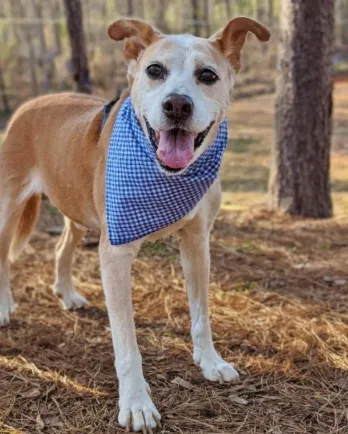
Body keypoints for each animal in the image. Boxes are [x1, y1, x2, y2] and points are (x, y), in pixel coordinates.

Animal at [0, 17, 270, 434]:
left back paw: (67, 294)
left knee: (62, 248)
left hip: (76, 209)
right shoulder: (116, 254)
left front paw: (209, 361)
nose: (177, 105)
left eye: (207, 75)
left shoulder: (197, 243)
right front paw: (137, 403)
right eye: (154, 71)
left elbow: (201, 315)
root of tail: (29, 103)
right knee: (4, 255)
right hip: (9, 205)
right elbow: (128, 345)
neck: (164, 175)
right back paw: (4, 305)